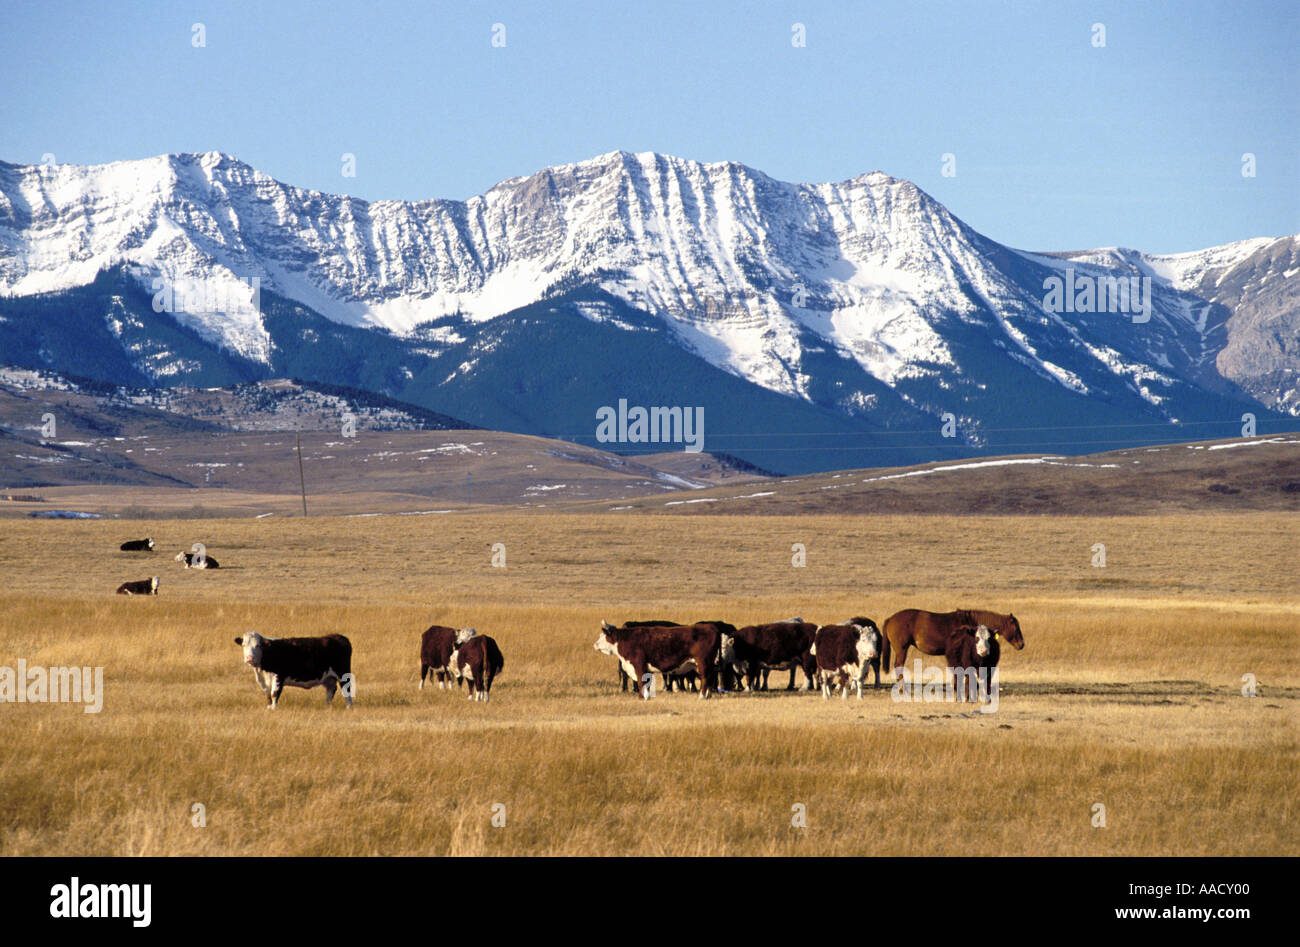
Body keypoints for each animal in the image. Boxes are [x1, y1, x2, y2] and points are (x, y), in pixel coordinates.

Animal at [595, 621, 727, 699]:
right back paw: (708, 695)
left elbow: (641, 682)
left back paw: (702, 696)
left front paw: (642, 697)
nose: (595, 644)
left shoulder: (639, 665)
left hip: (703, 662)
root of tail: (712, 627)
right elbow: (646, 683)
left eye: (603, 636)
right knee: (710, 678)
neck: (627, 639)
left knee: (706, 678)